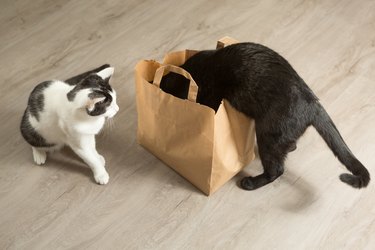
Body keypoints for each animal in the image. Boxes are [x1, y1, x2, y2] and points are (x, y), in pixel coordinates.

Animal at [160, 43, 372, 190]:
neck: (195, 71)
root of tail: (313, 103)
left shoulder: (211, 97)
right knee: (287, 149)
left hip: (267, 134)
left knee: (276, 170)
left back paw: (250, 183)